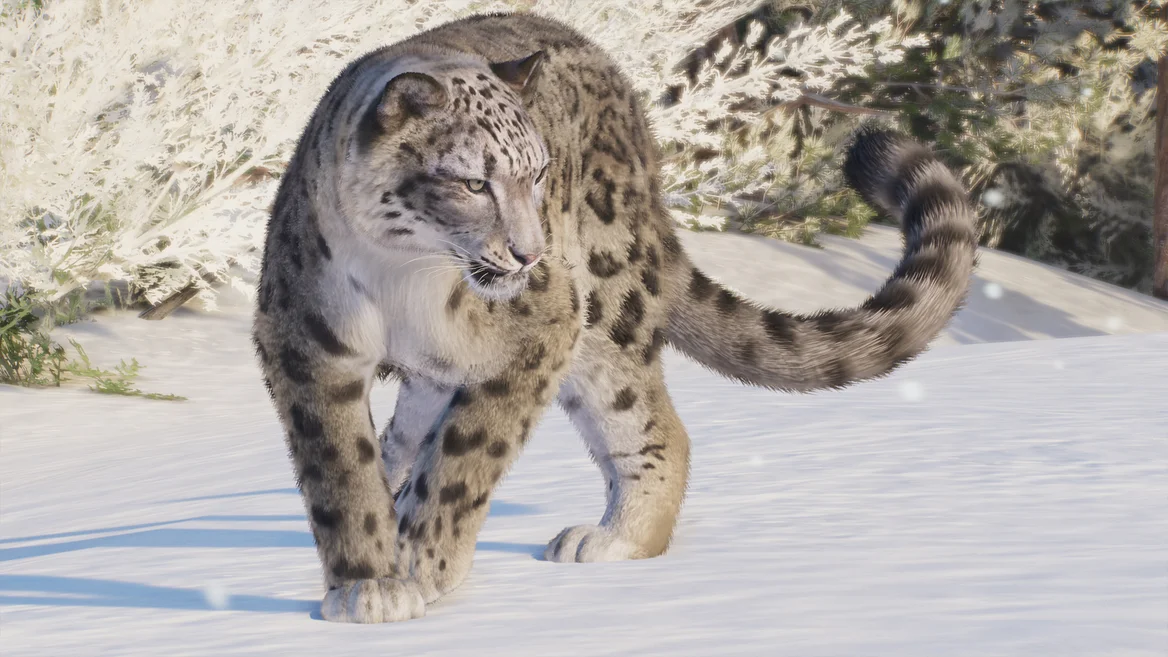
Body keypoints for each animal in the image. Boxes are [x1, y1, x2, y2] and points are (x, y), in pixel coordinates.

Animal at [251, 12, 977, 623]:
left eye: (537, 172)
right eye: (473, 182)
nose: (528, 252)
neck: (404, 275)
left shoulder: (539, 329)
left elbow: (465, 459)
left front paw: (425, 566)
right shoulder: (307, 342)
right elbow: (341, 471)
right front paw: (369, 585)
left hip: (603, 312)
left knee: (653, 423)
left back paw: (610, 540)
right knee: (406, 442)